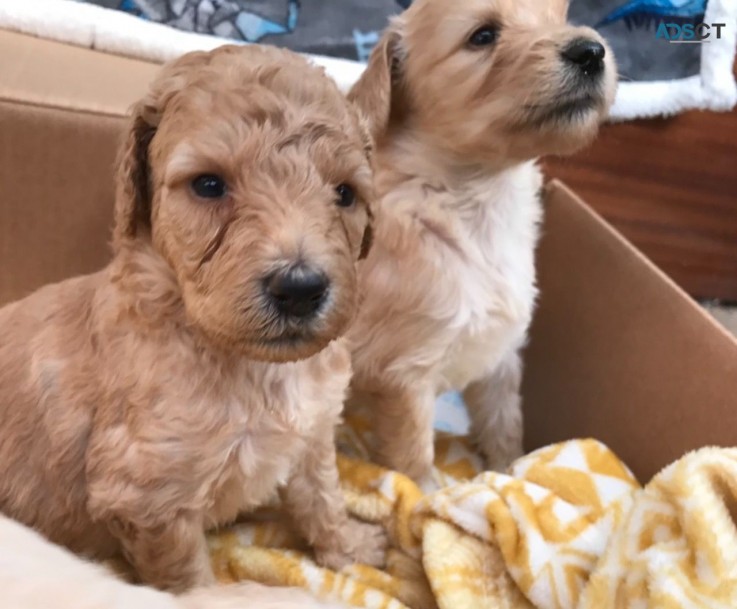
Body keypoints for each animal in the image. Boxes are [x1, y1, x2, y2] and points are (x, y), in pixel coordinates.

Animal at [1, 45, 386, 592]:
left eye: (345, 193)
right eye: (208, 185)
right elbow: (192, 583)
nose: (300, 290)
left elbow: (322, 496)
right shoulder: (149, 496)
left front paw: (350, 548)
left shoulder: (314, 432)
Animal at [344, 1, 616, 484]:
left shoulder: (500, 358)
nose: (591, 51)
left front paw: (509, 476)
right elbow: (413, 460)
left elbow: (505, 426)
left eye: (559, 16)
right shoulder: (403, 375)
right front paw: (428, 498)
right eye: (483, 36)